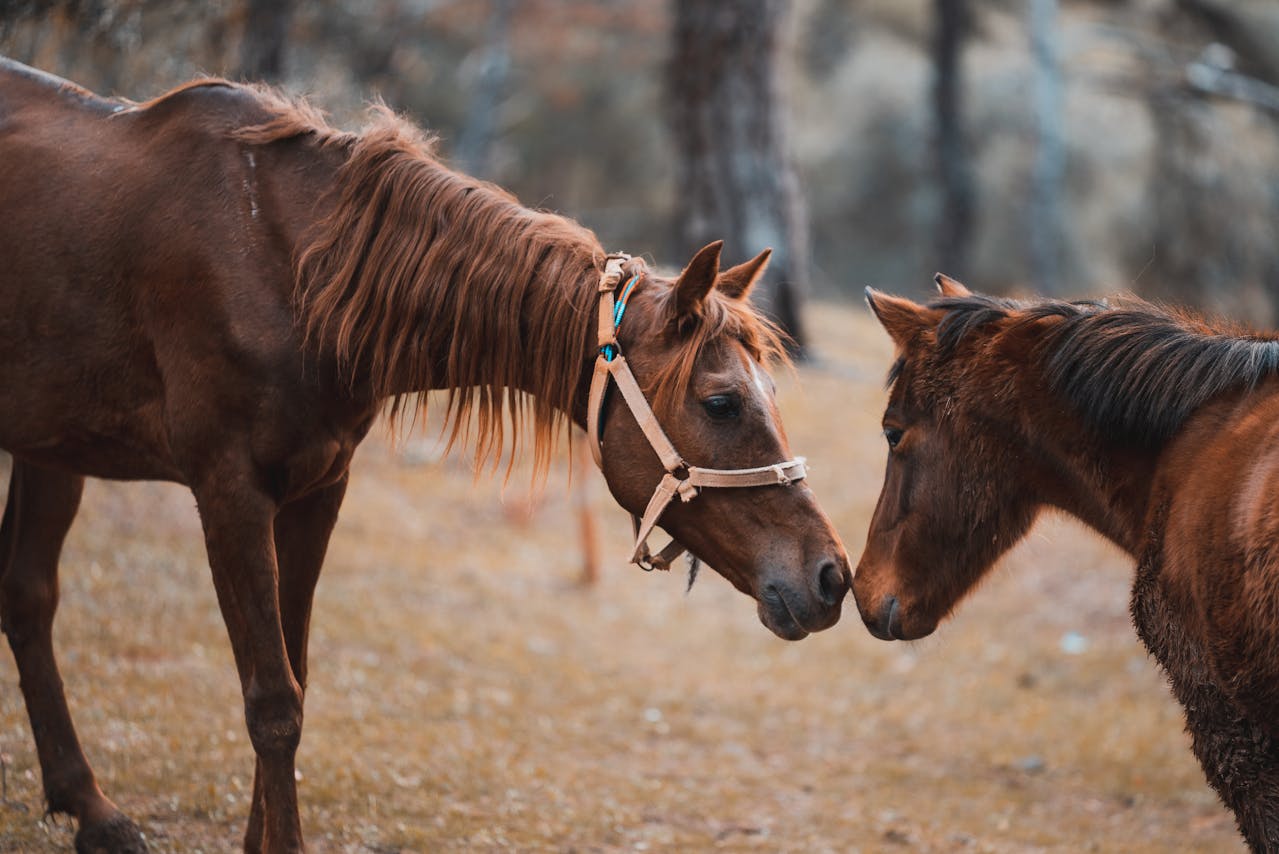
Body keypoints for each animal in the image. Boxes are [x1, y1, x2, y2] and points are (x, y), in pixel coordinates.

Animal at [0, 57, 852, 853]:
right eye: (721, 403)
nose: (830, 576)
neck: (287, 268)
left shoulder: (316, 489)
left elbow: (294, 675)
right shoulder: (230, 493)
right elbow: (272, 700)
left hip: (52, 448)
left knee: (28, 596)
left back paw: (92, 810)